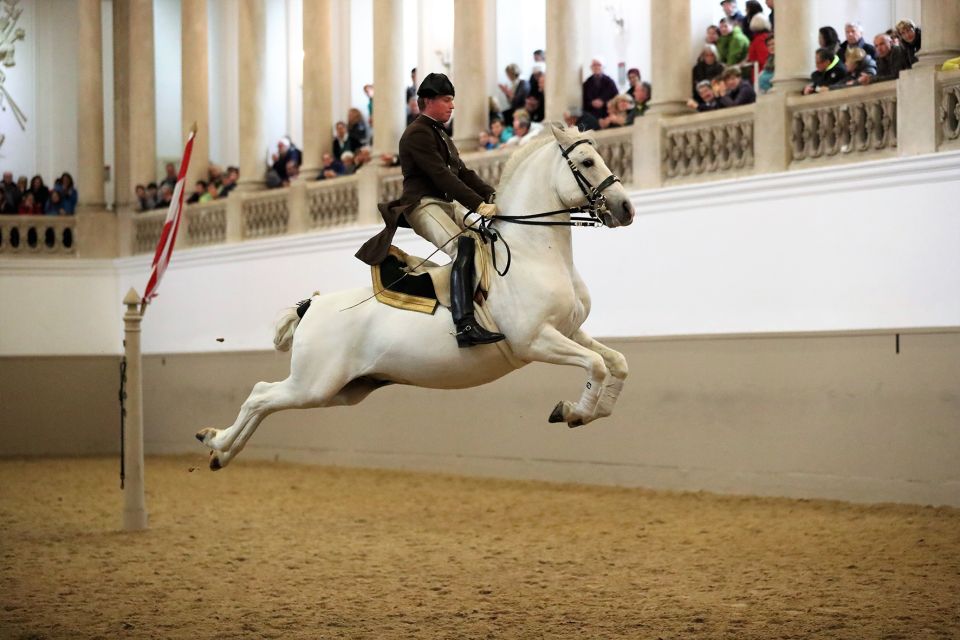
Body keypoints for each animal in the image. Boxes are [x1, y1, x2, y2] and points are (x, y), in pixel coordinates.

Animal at [196, 125, 632, 468]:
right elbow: (596, 366)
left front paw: (585, 411)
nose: (625, 208)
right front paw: (574, 413)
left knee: (266, 401)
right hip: (314, 384)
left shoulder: (570, 332)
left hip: (340, 391)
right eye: (588, 162)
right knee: (259, 395)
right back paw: (216, 442)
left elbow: (616, 364)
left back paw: (220, 451)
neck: (533, 251)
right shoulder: (537, 340)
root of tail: (312, 305)